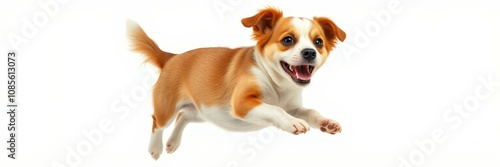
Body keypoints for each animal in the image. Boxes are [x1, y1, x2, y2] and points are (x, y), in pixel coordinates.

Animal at [127, 7, 346, 160]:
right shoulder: (242, 102)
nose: (310, 52)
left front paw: (325, 122)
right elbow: (275, 109)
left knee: (183, 117)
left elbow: (309, 111)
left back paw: (173, 142)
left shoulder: (293, 107)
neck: (278, 86)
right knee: (157, 123)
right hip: (167, 109)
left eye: (318, 42)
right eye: (288, 40)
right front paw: (292, 123)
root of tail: (171, 57)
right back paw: (155, 148)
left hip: (203, 111)